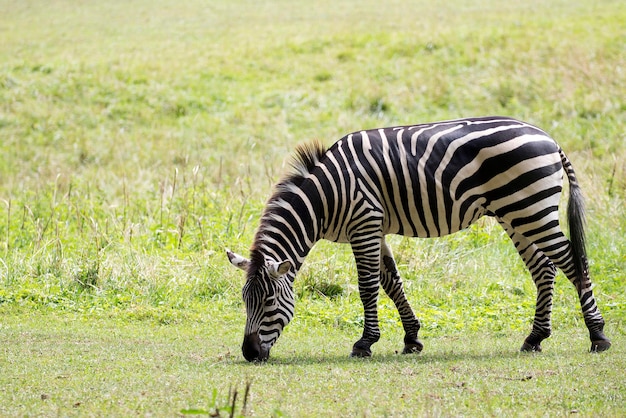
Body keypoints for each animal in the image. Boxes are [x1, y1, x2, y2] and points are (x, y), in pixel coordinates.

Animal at [225, 116, 608, 360]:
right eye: (245, 301)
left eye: (269, 303)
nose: (249, 354)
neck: (326, 197)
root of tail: (549, 138)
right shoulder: (375, 228)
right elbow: (392, 282)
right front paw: (412, 338)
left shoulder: (364, 223)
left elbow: (368, 287)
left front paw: (364, 343)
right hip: (517, 214)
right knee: (544, 269)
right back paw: (534, 338)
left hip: (531, 208)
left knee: (573, 263)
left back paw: (598, 335)